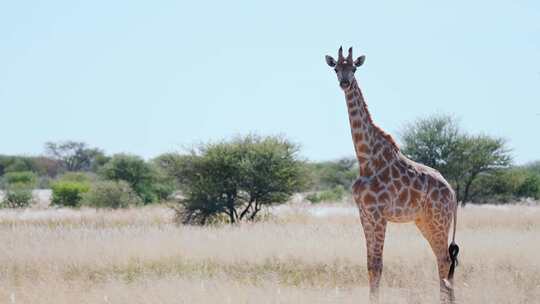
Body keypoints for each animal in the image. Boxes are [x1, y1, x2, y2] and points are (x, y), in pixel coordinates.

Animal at [324, 46, 460, 302]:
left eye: (354, 68)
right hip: (424, 221)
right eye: (336, 68)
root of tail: (453, 192)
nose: (345, 83)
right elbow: (370, 265)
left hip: (439, 219)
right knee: (444, 260)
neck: (365, 159)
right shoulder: (364, 214)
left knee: (445, 259)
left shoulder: (379, 215)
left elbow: (378, 265)